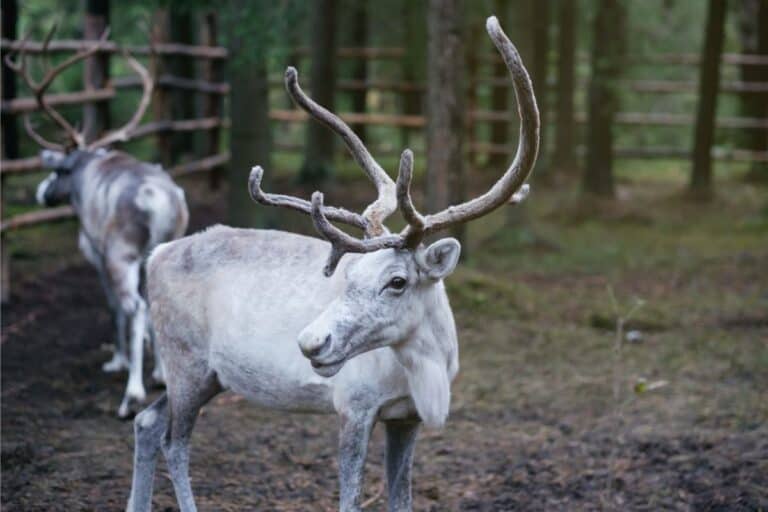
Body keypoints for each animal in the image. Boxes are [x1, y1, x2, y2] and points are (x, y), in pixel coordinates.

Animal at [5, 26, 190, 418]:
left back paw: (131, 396)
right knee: (156, 305)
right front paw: (156, 370)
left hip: (121, 254)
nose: (41, 193)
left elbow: (113, 308)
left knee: (134, 308)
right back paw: (163, 377)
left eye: (58, 170)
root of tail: (160, 200)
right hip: (166, 249)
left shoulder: (98, 254)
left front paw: (117, 361)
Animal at [127, 16, 537, 512]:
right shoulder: (354, 407)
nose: (310, 342)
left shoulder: (406, 418)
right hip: (185, 362)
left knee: (147, 423)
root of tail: (156, 256)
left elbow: (402, 498)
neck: (429, 367)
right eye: (349, 274)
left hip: (205, 375)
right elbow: (349, 499)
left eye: (397, 281)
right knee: (175, 441)